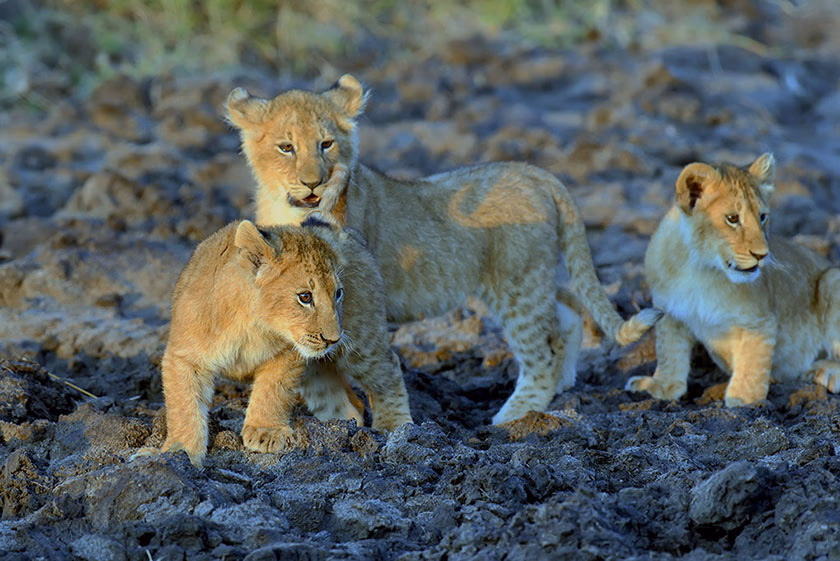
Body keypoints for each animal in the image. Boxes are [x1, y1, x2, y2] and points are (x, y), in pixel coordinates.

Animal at [133, 215, 412, 467]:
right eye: (305, 297)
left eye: (338, 293)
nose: (332, 339)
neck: (251, 325)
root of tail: (344, 231)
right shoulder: (184, 356)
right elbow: (185, 407)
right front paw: (178, 451)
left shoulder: (289, 353)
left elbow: (273, 390)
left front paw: (265, 432)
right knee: (340, 400)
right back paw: (337, 428)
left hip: (361, 341)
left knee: (388, 367)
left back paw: (396, 429)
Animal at [225, 74, 661, 425]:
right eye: (286, 147)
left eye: (327, 144)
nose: (314, 183)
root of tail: (536, 171)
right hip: (529, 276)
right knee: (567, 309)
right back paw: (563, 387)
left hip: (516, 283)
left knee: (539, 354)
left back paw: (514, 418)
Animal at [626, 153, 840, 405]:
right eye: (732, 218)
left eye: (762, 217)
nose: (761, 255)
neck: (700, 270)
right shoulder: (669, 313)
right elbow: (669, 352)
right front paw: (660, 387)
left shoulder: (760, 321)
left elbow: (752, 364)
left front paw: (744, 403)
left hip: (831, 279)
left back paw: (826, 372)